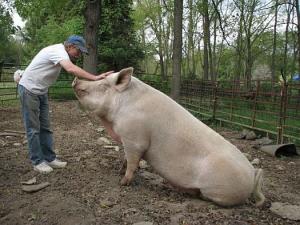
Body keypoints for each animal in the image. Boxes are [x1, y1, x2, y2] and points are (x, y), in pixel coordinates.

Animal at [73, 67, 264, 207]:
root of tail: (253, 175)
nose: (76, 79)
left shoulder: (135, 139)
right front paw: (119, 171)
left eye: (104, 85)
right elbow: (125, 158)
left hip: (219, 191)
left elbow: (133, 162)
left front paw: (122, 182)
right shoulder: (128, 141)